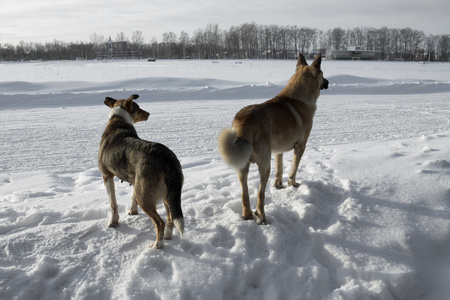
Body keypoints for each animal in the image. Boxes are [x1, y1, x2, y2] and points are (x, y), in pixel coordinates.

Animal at [97, 94, 184, 248]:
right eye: (138, 108)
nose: (148, 113)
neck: (117, 121)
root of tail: (168, 159)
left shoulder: (107, 175)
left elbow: (113, 204)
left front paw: (113, 222)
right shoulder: (134, 179)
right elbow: (132, 198)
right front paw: (132, 211)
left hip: (145, 198)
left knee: (160, 223)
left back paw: (157, 245)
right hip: (167, 195)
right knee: (170, 219)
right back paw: (167, 237)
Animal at [217, 54, 326, 224]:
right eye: (323, 74)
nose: (327, 83)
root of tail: (244, 123)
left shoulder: (278, 151)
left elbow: (279, 170)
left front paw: (279, 186)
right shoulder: (300, 146)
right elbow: (293, 170)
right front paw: (292, 185)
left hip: (242, 168)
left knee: (244, 194)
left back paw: (247, 215)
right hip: (264, 165)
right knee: (260, 194)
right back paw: (262, 218)